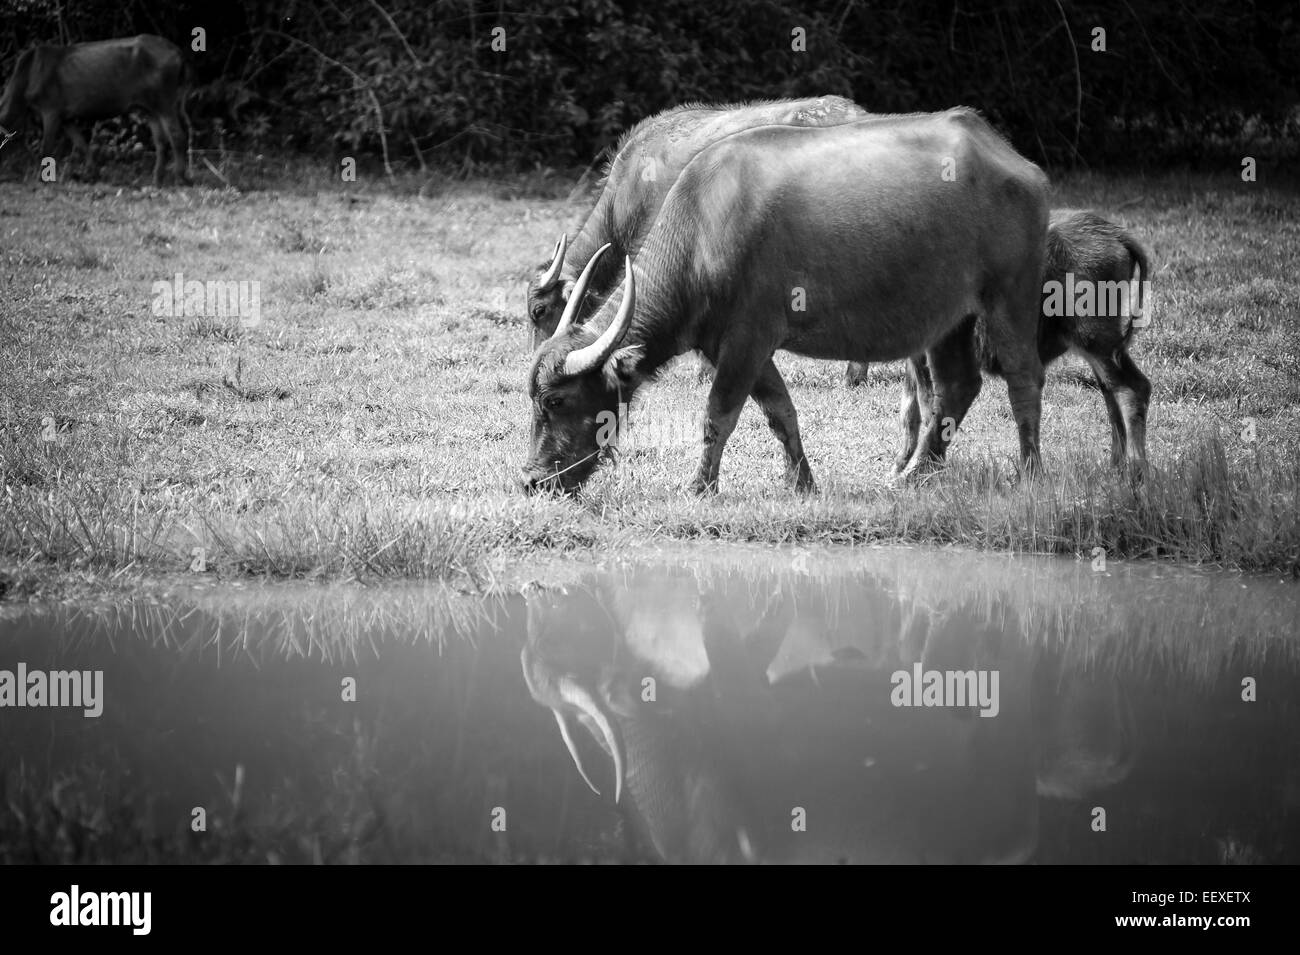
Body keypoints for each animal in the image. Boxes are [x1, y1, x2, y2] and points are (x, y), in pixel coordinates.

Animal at [0, 34, 192, 184]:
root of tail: (179, 53)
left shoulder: (50, 109)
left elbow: (46, 148)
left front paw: (41, 180)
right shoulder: (66, 116)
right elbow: (81, 144)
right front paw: (92, 173)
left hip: (165, 101)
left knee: (177, 136)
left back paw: (179, 178)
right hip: (150, 107)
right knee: (161, 141)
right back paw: (157, 179)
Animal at [899, 211, 1154, 475]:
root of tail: (1115, 234)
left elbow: (926, 407)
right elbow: (910, 411)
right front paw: (902, 464)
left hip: (1094, 339)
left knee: (1130, 388)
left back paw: (1136, 472)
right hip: (1101, 346)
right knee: (1115, 392)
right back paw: (1116, 468)